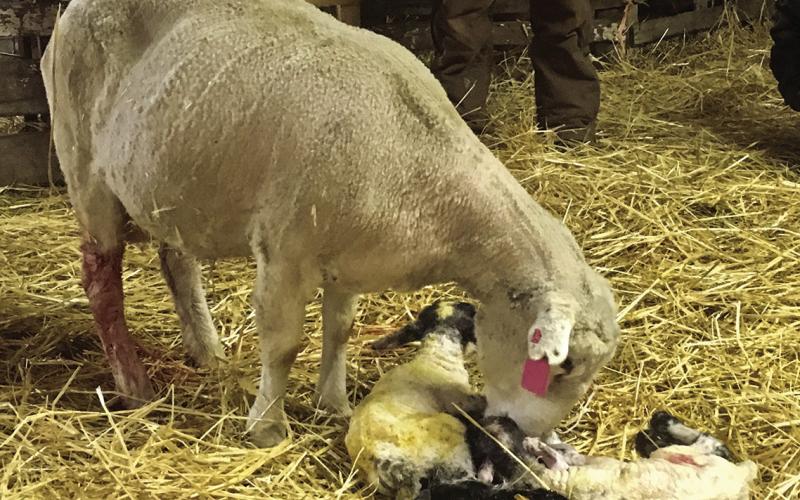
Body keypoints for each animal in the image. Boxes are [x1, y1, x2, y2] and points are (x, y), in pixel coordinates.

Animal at [42, 0, 620, 447]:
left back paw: (206, 350)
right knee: (100, 281)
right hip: (84, 167)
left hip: (169, 182)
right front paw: (267, 427)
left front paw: (333, 403)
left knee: (177, 259)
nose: (525, 441)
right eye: (562, 364)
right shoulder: (285, 250)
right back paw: (132, 383)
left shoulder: (350, 258)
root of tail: (73, 10)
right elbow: (282, 344)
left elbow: (339, 329)